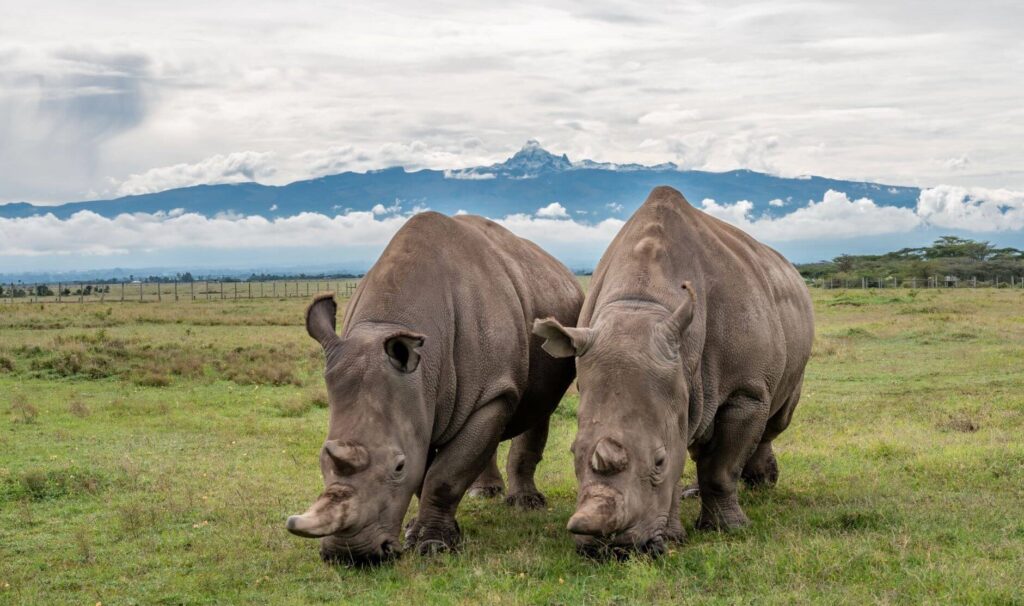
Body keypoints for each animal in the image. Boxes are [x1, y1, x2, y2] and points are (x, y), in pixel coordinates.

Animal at [286, 212, 583, 563]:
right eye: (322, 459)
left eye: (398, 466)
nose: (350, 555)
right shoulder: (417, 399)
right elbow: (427, 469)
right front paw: (417, 532)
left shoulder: (491, 392)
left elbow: (444, 474)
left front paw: (433, 546)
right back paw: (483, 493)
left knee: (537, 410)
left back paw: (525, 505)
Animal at [533, 186, 814, 556]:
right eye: (573, 453)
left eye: (658, 461)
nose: (609, 549)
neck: (641, 304)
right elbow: (684, 449)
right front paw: (673, 537)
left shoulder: (746, 391)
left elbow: (721, 468)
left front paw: (729, 529)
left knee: (775, 419)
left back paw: (761, 484)